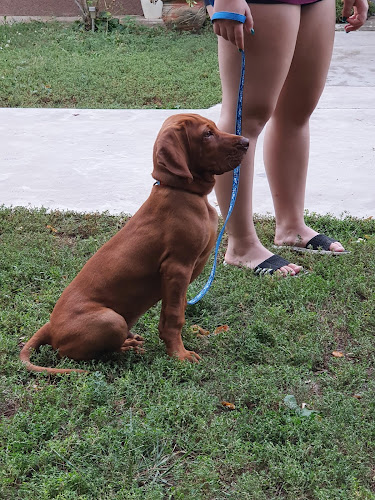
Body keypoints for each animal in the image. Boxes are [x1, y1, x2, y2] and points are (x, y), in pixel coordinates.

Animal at [19, 112, 250, 372]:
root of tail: (49, 326)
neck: (183, 191)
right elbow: (174, 317)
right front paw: (179, 355)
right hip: (112, 320)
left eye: (215, 128)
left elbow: (176, 309)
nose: (246, 142)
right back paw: (124, 347)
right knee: (70, 354)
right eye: (207, 134)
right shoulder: (177, 267)